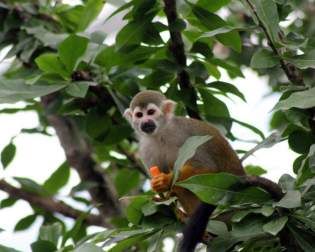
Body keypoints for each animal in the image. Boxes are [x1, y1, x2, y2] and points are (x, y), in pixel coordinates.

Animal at [124, 89, 246, 251]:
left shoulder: (185, 136)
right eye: (139, 115)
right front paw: (162, 192)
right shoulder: (145, 148)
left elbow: (206, 167)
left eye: (150, 112)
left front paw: (166, 180)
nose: (145, 122)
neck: (161, 133)